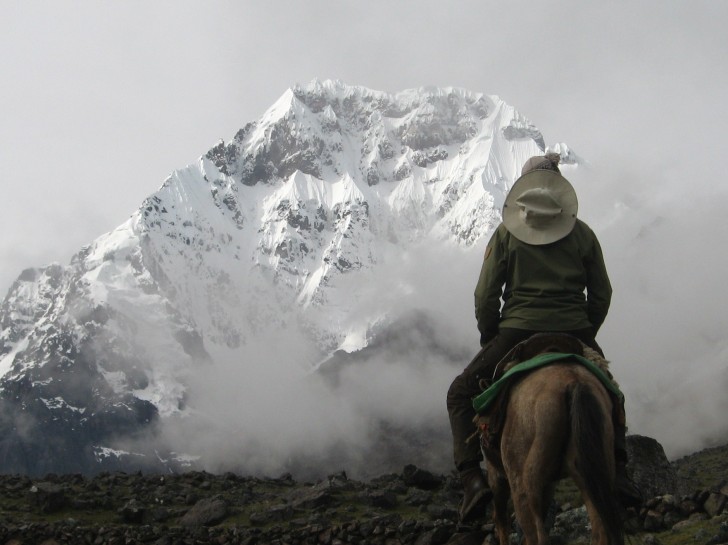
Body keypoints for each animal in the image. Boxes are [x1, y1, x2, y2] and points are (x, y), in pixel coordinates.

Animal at [484, 362, 624, 544]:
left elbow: (500, 519)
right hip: (592, 476)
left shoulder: (496, 476)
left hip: (523, 486)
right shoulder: (549, 484)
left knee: (537, 536)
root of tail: (574, 382)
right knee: (601, 532)